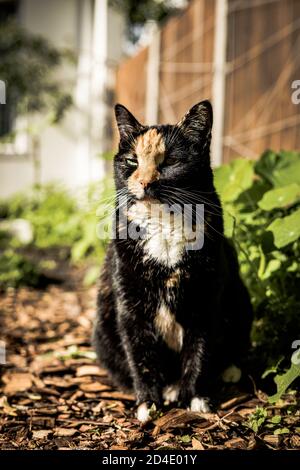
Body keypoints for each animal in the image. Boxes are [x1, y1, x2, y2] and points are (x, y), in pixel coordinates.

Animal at [94, 101, 253, 424]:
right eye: (131, 160)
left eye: (169, 161)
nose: (145, 181)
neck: (163, 228)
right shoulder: (130, 307)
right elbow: (140, 356)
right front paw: (148, 404)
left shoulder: (206, 301)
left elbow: (200, 353)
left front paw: (195, 398)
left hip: (241, 301)